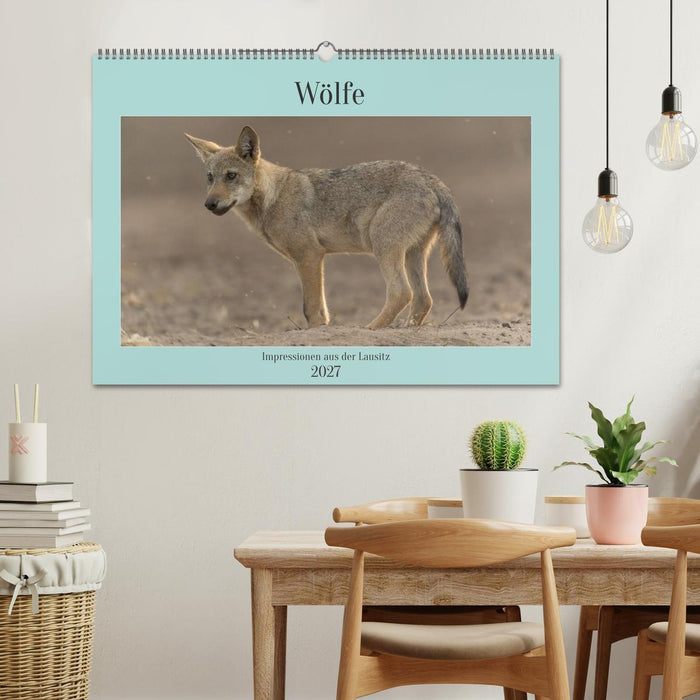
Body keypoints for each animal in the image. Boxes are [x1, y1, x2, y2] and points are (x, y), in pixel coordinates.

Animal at [185, 126, 468, 329]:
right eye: (210, 178)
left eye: (231, 176)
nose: (209, 204)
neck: (274, 197)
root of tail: (432, 179)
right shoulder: (306, 259)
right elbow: (319, 309)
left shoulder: (309, 256)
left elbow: (311, 308)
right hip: (413, 254)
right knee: (423, 299)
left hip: (384, 247)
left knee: (402, 293)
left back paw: (369, 330)